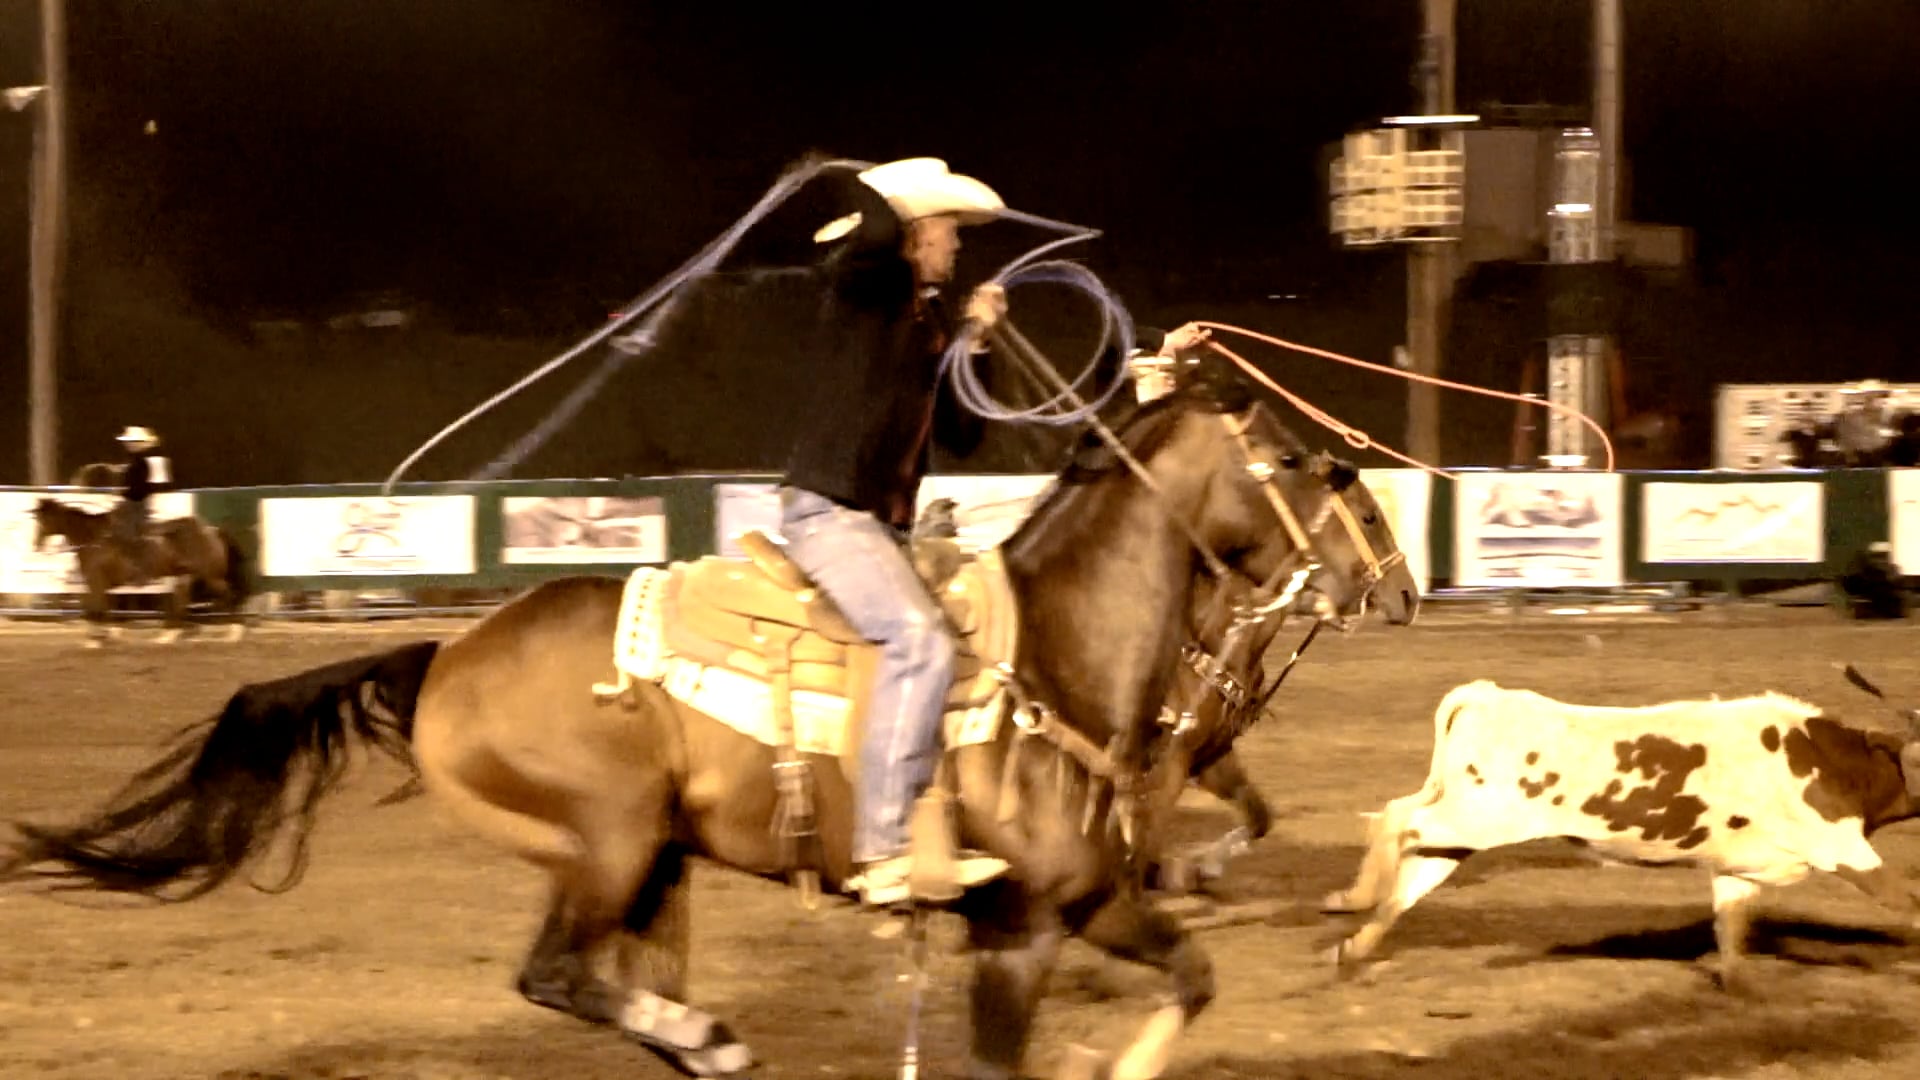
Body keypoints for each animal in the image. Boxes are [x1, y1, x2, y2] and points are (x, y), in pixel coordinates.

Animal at [30, 499, 253, 641]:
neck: (94, 539)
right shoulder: (103, 584)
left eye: (43, 520)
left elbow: (96, 608)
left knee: (228, 595)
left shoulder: (96, 581)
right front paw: (110, 633)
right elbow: (104, 607)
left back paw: (235, 632)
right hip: (185, 575)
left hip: (212, 576)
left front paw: (96, 638)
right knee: (181, 600)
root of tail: (211, 530)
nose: (37, 545)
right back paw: (167, 635)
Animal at [1328, 680, 1920, 983]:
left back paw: (1354, 947)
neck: (1825, 759)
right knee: (1397, 818)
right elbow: (1907, 903)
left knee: (1408, 876)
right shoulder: (1843, 849)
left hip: (1463, 832)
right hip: (1480, 815)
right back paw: (1350, 898)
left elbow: (1730, 933)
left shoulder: (1736, 870)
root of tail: (1489, 695)